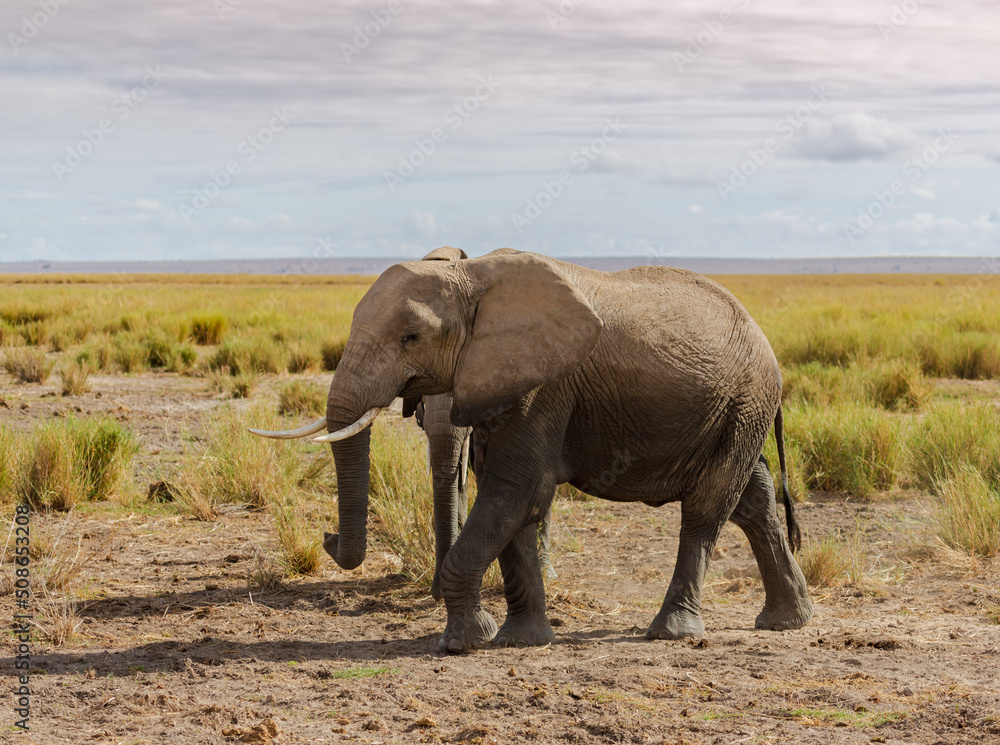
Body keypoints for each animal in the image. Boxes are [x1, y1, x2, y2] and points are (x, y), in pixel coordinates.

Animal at [252, 247, 813, 653]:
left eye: (411, 337)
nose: (326, 538)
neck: (472, 276)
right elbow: (514, 505)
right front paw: (519, 640)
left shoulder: (543, 385)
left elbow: (514, 491)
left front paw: (462, 641)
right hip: (733, 411)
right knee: (752, 500)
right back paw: (787, 622)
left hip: (744, 398)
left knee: (707, 507)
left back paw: (672, 632)